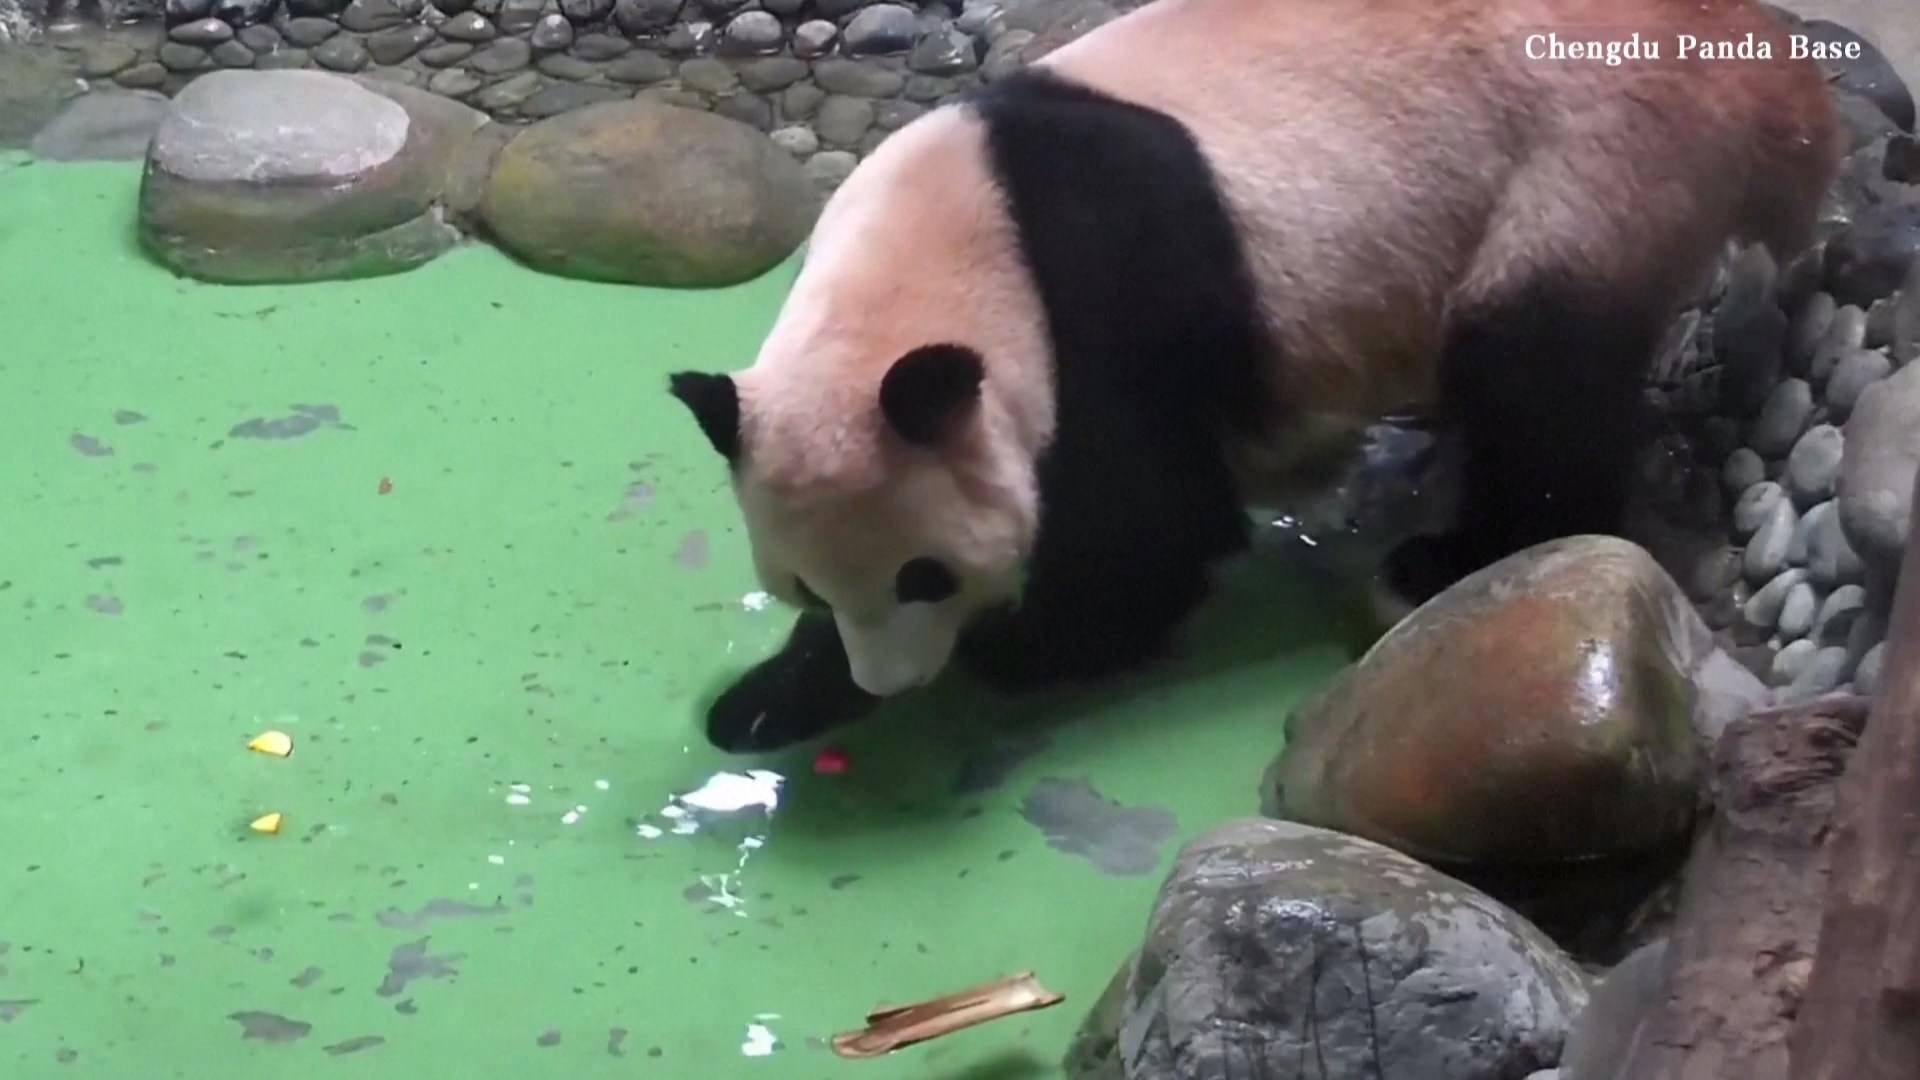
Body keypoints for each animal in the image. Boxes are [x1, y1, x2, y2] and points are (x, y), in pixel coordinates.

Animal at [668, 0, 1842, 752]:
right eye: (805, 584)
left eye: (926, 576)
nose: (892, 678)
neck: (958, 240)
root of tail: (1763, 65)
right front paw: (772, 698)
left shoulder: (1103, 292)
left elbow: (1153, 523)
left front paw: (1025, 646)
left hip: (1587, 159)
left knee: (1539, 367)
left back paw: (1457, 553)